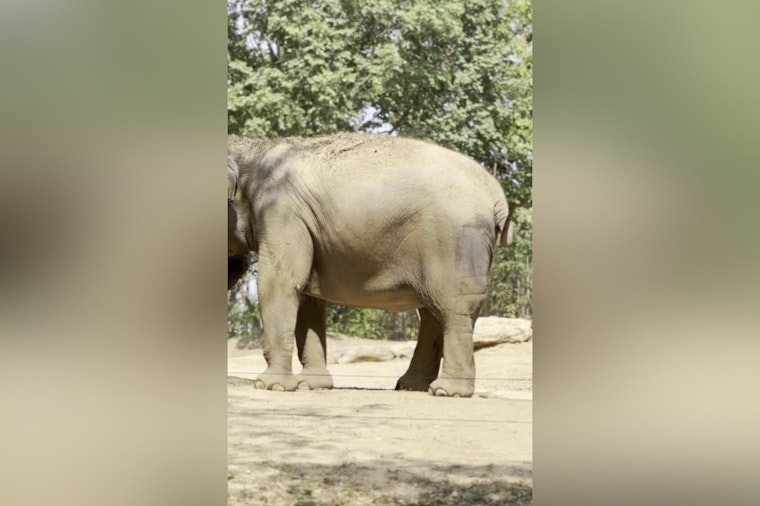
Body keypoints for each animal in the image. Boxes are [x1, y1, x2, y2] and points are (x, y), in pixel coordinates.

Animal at [227, 132, 514, 397]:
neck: (254, 151)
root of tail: (495, 191)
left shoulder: (281, 212)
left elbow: (281, 282)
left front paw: (271, 386)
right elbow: (308, 297)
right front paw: (312, 385)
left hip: (454, 242)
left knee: (454, 308)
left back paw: (446, 391)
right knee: (432, 312)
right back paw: (413, 387)